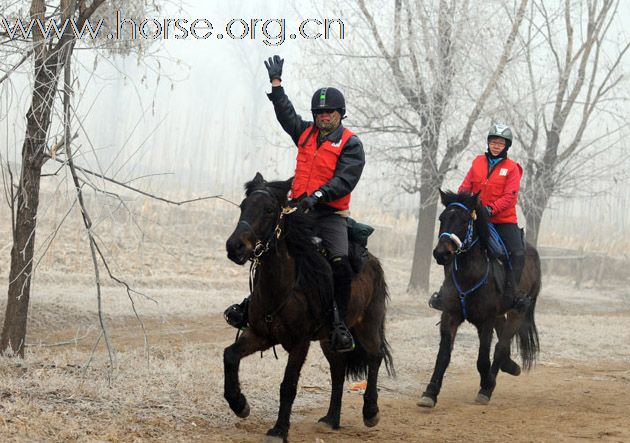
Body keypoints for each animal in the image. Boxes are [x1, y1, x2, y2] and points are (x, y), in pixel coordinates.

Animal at [225, 174, 392, 443]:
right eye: (243, 206)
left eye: (269, 210)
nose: (235, 247)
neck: (284, 285)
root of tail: (373, 262)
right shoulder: (261, 335)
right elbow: (229, 356)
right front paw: (239, 404)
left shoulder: (299, 343)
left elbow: (288, 385)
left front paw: (279, 430)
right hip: (328, 340)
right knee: (338, 370)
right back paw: (331, 419)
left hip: (368, 325)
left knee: (375, 357)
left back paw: (370, 412)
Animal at [420, 191, 544, 410]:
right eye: (442, 218)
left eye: (464, 220)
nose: (441, 253)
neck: (470, 273)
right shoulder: (450, 315)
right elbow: (443, 356)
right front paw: (430, 392)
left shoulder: (485, 321)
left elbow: (483, 359)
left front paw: (486, 385)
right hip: (499, 315)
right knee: (502, 338)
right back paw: (509, 366)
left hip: (517, 312)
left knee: (501, 346)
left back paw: (489, 385)